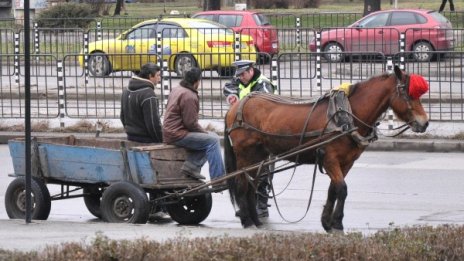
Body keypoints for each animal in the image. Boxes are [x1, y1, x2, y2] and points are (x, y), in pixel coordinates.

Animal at [223, 65, 430, 230]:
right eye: (408, 94)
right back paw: (247, 220)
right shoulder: (330, 160)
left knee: (253, 185)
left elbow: (334, 190)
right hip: (245, 155)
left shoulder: (346, 162)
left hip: (258, 156)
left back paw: (256, 220)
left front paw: (327, 221)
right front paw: (337, 222)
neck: (347, 114)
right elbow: (342, 189)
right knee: (242, 185)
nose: (425, 123)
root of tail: (237, 106)